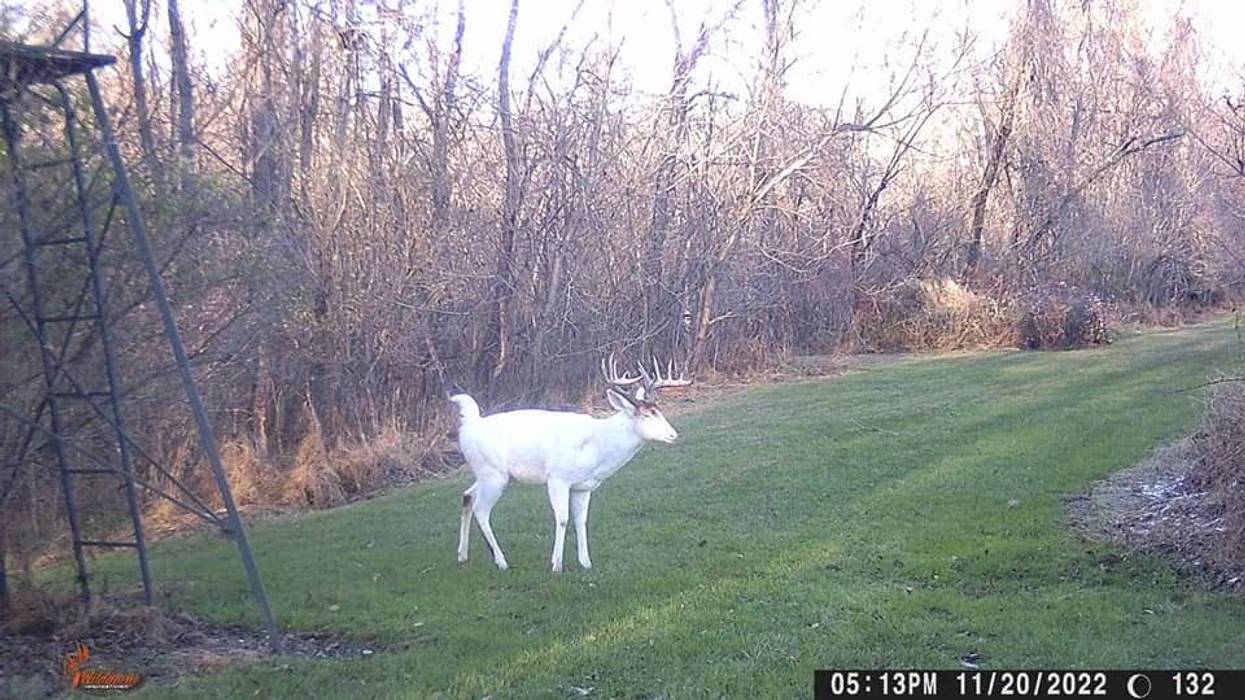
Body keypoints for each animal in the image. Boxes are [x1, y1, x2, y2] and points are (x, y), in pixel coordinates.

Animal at [448, 354, 692, 572]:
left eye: (659, 411)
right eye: (648, 415)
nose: (673, 434)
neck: (597, 448)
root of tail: (469, 427)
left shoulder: (584, 486)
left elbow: (581, 520)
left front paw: (586, 563)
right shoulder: (558, 477)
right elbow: (563, 518)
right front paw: (556, 565)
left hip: (488, 473)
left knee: (467, 496)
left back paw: (462, 555)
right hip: (494, 473)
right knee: (481, 510)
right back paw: (501, 562)